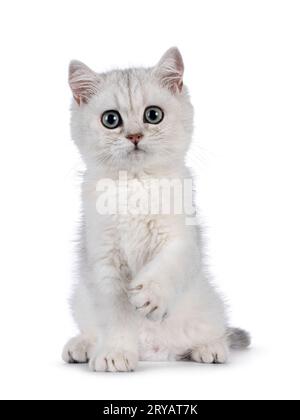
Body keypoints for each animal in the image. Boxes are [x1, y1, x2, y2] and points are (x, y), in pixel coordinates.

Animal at [62, 47, 250, 372]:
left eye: (153, 115)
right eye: (111, 119)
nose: (135, 136)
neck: (136, 184)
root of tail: (156, 353)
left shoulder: (183, 239)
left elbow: (168, 266)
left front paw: (150, 296)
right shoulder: (103, 259)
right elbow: (115, 316)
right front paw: (115, 353)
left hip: (208, 304)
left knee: (218, 330)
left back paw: (209, 348)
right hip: (81, 299)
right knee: (91, 329)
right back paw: (82, 346)